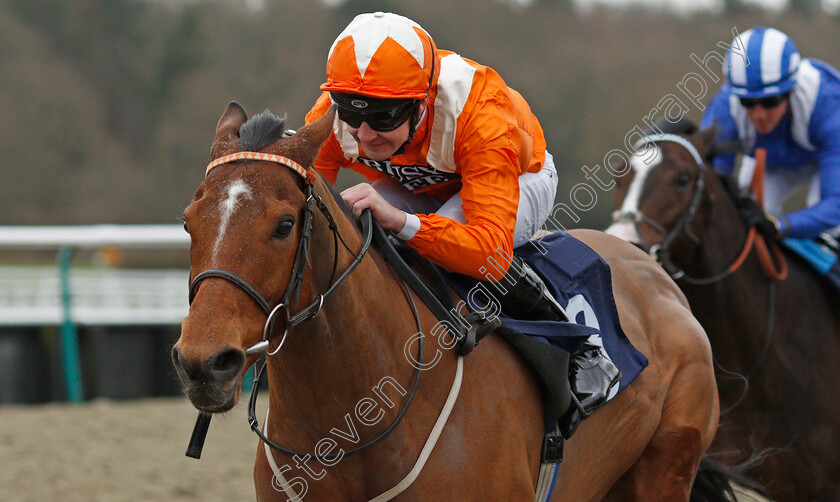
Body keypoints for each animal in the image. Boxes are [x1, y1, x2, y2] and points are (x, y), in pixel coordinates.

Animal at [174, 103, 720, 502]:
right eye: (187, 221)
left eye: (284, 224)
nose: (204, 362)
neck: (354, 425)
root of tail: (657, 275)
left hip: (666, 464)